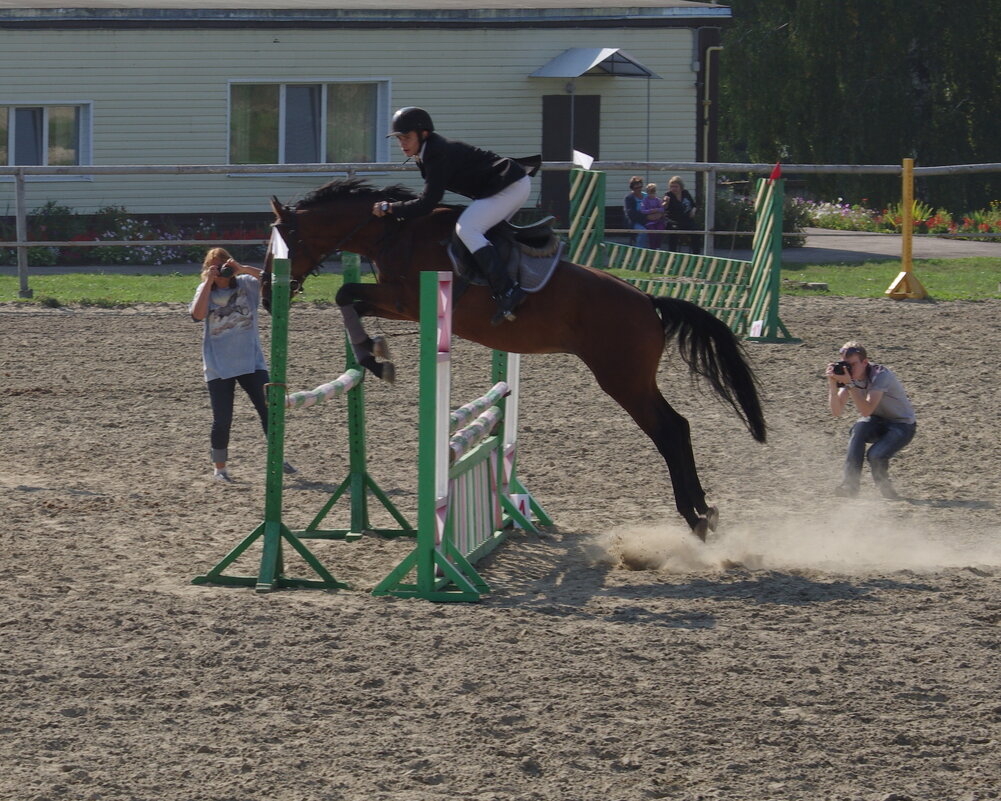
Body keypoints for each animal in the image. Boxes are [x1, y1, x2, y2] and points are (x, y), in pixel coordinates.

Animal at [262, 175, 760, 536]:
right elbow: (349, 299)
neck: (393, 233)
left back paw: (695, 516)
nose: (268, 294)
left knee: (668, 430)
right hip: (633, 379)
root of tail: (647, 301)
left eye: (283, 240)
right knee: (679, 426)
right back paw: (705, 511)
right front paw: (373, 353)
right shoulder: (396, 302)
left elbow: (345, 292)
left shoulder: (408, 301)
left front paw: (373, 357)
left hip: (623, 379)